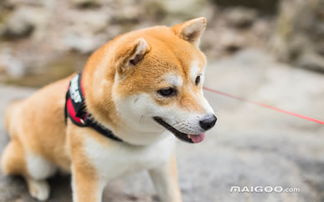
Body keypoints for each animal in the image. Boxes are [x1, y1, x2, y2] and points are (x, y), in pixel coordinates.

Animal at [2, 17, 216, 202]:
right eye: (166, 91)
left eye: (197, 79)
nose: (210, 121)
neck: (132, 141)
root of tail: (20, 109)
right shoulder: (88, 177)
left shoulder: (163, 165)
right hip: (35, 162)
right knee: (19, 168)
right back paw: (39, 187)